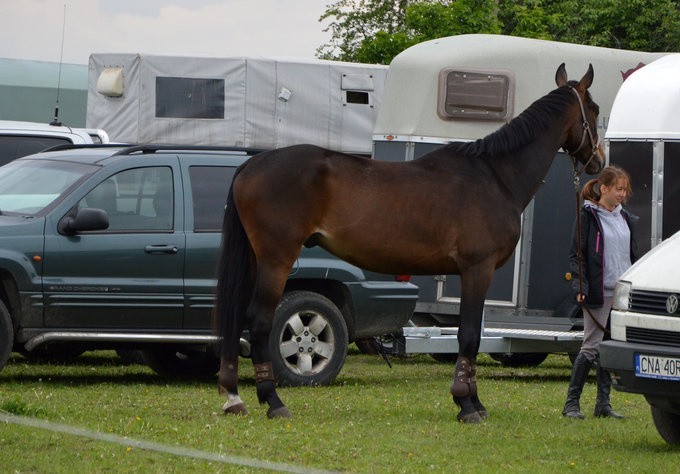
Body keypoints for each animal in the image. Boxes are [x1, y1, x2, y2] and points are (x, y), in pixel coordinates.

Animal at [214, 63, 604, 422]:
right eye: (596, 109)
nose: (599, 161)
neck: (494, 176)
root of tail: (253, 164)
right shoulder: (477, 270)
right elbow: (468, 336)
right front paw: (465, 404)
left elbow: (472, 336)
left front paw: (475, 402)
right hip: (276, 260)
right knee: (259, 321)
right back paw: (273, 401)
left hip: (257, 260)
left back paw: (235, 397)